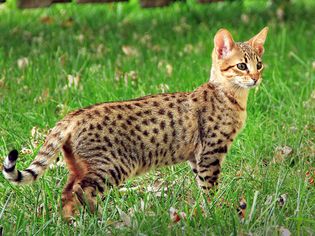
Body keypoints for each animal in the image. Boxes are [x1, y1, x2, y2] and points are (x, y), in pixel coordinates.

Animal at [2, 27, 270, 219]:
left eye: (259, 64)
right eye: (242, 66)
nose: (256, 78)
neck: (230, 97)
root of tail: (75, 113)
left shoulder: (196, 156)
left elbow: (201, 184)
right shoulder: (210, 153)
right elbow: (209, 187)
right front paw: (215, 212)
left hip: (82, 166)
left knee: (67, 192)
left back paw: (71, 222)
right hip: (112, 166)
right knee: (79, 191)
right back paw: (96, 219)